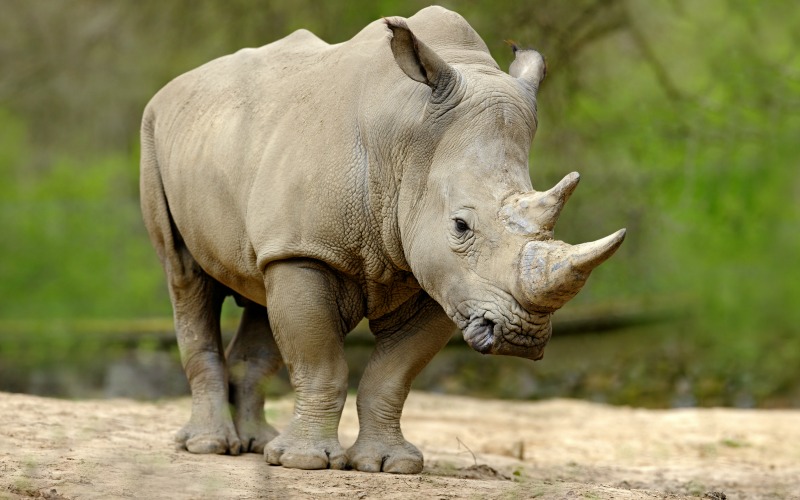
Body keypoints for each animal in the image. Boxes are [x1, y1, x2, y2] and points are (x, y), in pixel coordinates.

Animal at [139, 6, 624, 472]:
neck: (408, 144)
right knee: (186, 279)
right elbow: (321, 363)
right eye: (460, 226)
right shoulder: (309, 252)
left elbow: (392, 375)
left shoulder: (443, 279)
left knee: (259, 286)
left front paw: (390, 464)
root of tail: (176, 87)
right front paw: (305, 462)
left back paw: (258, 445)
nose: (520, 336)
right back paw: (211, 447)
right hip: (155, 133)